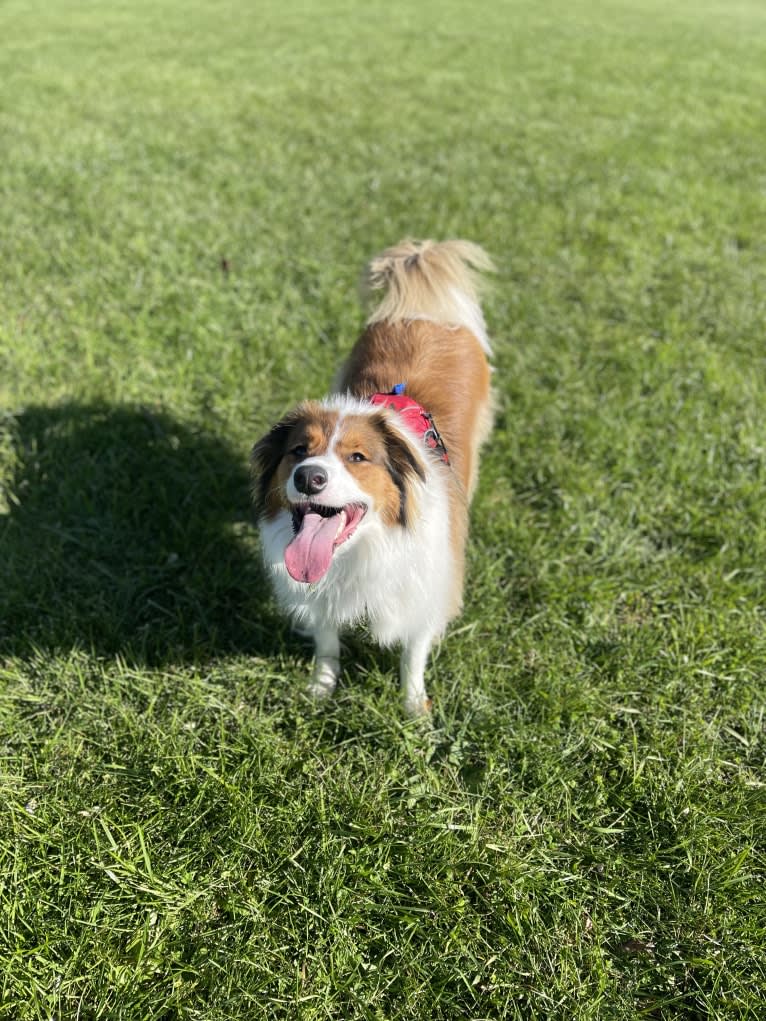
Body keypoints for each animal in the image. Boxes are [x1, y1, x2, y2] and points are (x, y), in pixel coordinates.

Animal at [249, 238, 494, 718]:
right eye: (299, 452)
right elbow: (328, 643)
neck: (363, 549)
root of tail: (422, 312)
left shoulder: (427, 586)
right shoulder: (322, 595)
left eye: (357, 457)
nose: (309, 478)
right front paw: (321, 689)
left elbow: (413, 654)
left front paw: (414, 708)